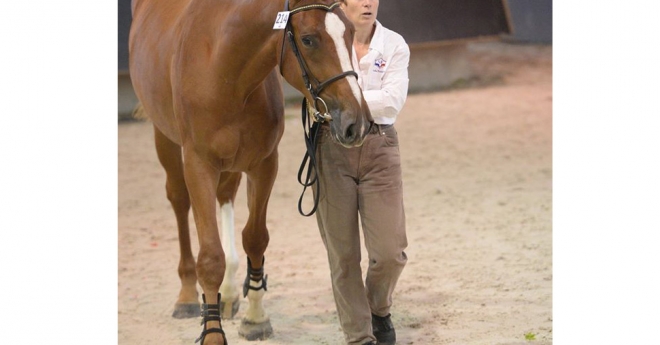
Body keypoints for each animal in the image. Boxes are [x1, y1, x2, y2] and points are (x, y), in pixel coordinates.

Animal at [126, 0, 368, 342]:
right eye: (308, 39)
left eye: (350, 32)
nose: (355, 123)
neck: (224, 69)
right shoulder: (198, 165)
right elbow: (210, 256)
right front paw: (212, 332)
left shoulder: (264, 163)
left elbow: (255, 238)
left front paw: (255, 317)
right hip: (164, 137)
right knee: (179, 201)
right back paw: (187, 295)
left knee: (225, 196)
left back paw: (227, 293)